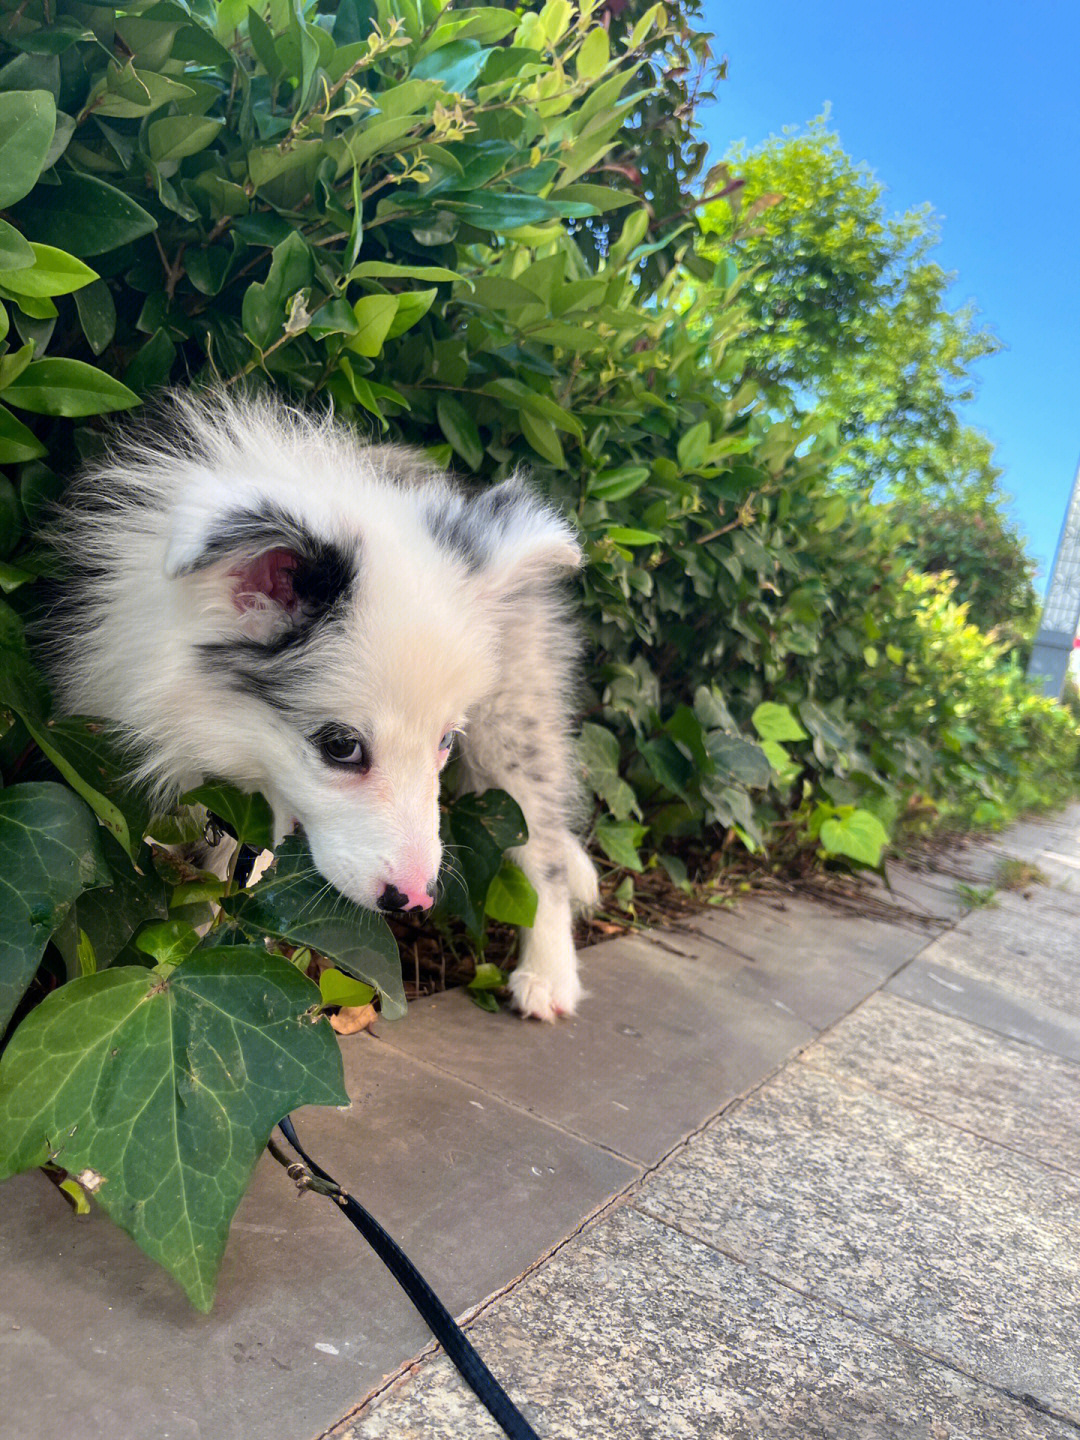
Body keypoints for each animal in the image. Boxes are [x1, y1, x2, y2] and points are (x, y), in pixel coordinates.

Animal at [48, 394, 601, 1019]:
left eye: (443, 741)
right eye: (341, 747)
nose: (415, 900)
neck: (206, 731)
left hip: (515, 722)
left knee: (544, 845)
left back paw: (549, 974)